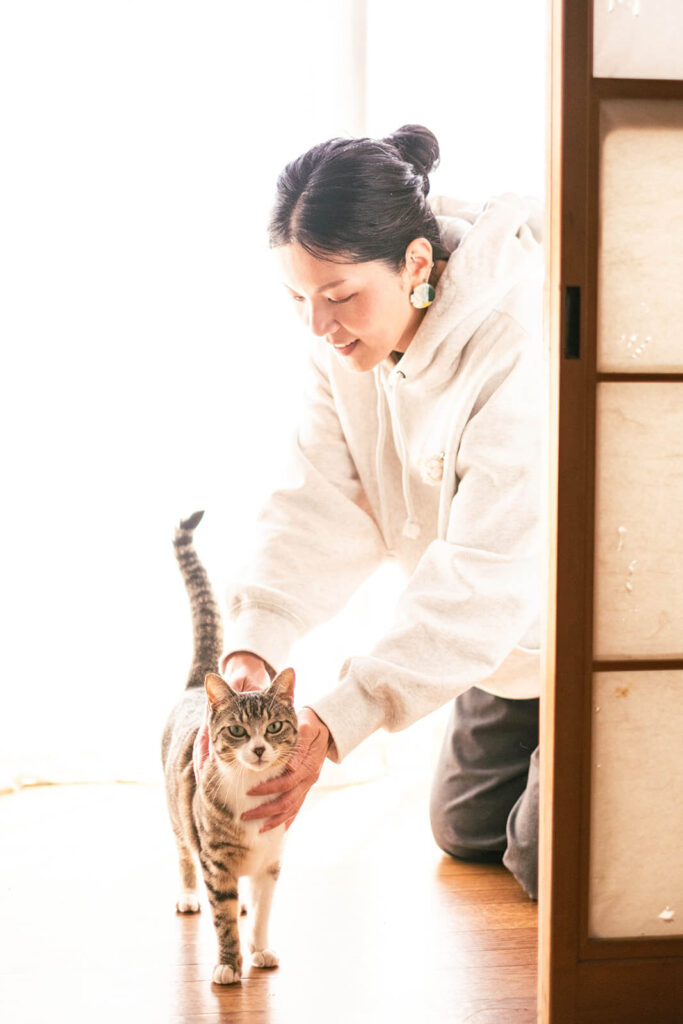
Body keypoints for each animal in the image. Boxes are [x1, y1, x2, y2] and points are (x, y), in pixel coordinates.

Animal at [162, 512, 299, 983]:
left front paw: (260, 949)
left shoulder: (272, 860)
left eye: (274, 727)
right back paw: (189, 894)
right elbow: (221, 918)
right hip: (178, 814)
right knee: (184, 855)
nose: (257, 749)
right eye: (238, 731)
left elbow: (263, 911)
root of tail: (195, 687)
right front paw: (228, 965)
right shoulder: (216, 859)